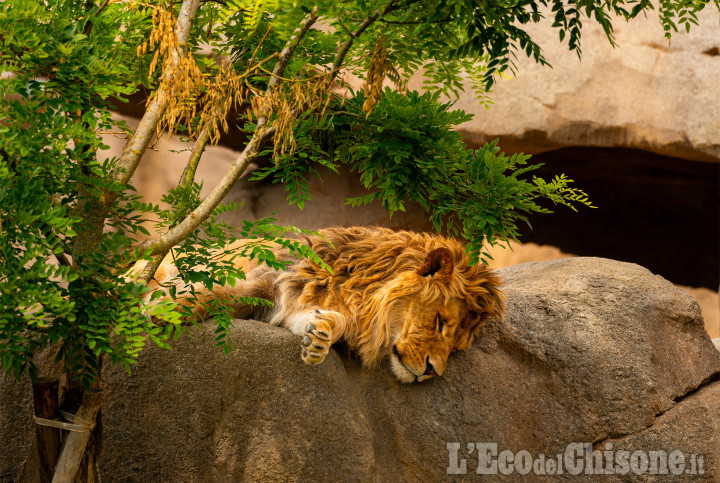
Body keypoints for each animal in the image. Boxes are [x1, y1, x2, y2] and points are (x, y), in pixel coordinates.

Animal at [146, 227, 504, 382]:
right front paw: (163, 310)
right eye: (439, 322)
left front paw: (319, 336)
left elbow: (327, 322)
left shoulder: (289, 306)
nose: (433, 373)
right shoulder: (269, 281)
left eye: (455, 348)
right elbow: (219, 294)